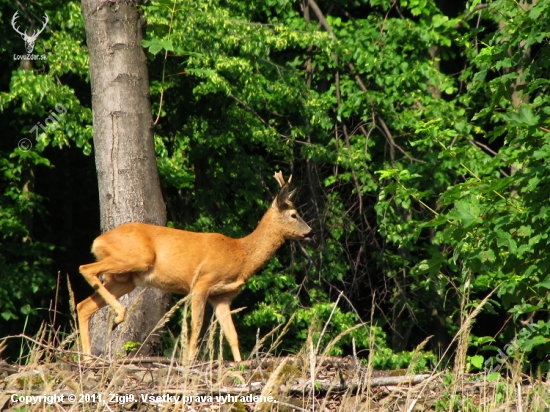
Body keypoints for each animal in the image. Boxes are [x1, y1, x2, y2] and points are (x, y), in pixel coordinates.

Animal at [76, 171, 314, 360]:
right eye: (294, 214)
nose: (310, 232)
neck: (241, 254)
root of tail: (99, 240)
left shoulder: (222, 296)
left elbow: (232, 335)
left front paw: (239, 366)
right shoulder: (202, 283)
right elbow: (197, 327)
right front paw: (189, 361)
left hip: (126, 279)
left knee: (83, 305)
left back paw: (88, 358)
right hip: (136, 257)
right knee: (85, 268)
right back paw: (118, 315)